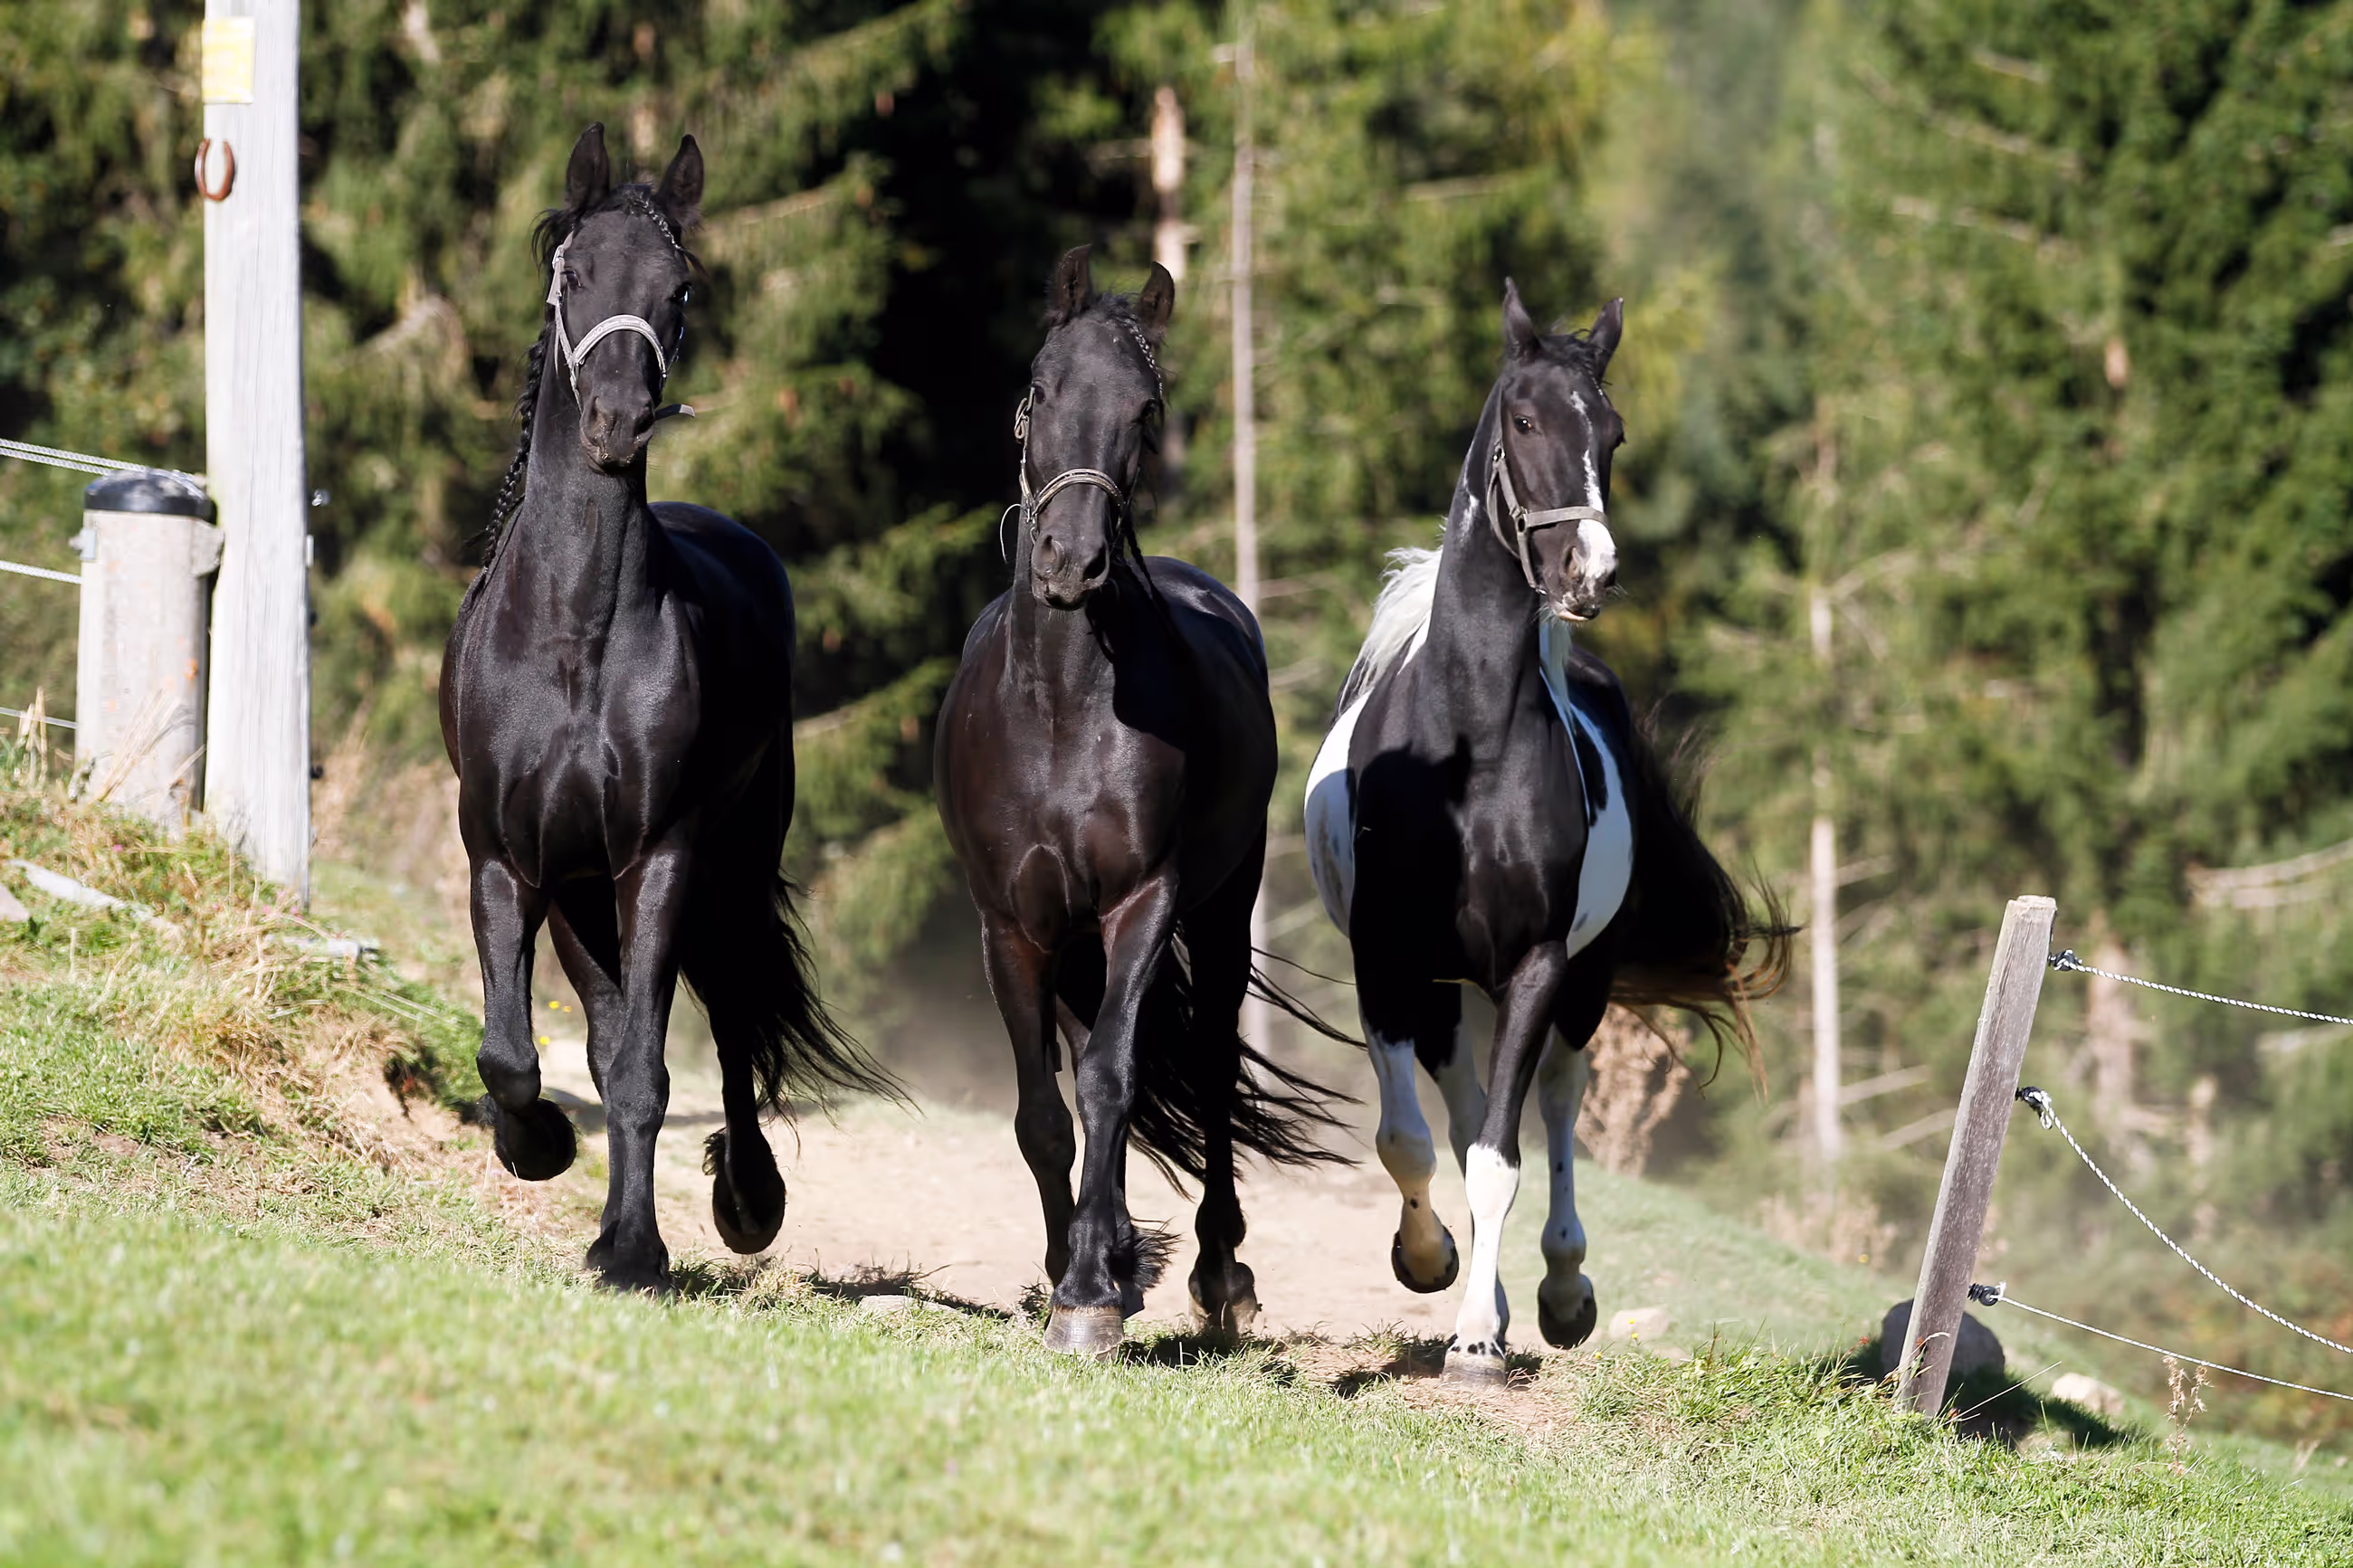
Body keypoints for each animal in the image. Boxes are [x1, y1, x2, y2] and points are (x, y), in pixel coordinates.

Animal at [441, 124, 890, 1292]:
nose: (616, 420)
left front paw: (634, 1251)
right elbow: (514, 1053)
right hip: (583, 894)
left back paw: (747, 1199)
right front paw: (539, 1146)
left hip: (720, 872)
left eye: (678, 288)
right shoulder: (506, 857)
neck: (572, 643)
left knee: (728, 1022)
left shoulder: (659, 858)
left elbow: (647, 1068)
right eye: (570, 271)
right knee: (607, 1031)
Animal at [935, 246, 1340, 1355]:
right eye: (1038, 390)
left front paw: (1088, 1291)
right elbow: (1045, 1108)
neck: (1063, 711)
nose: (1072, 562)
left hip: (1220, 912)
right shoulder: (1008, 926)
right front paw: (1071, 1274)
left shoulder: (1143, 904)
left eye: (1145, 409)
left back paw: (1213, 1274)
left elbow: (1115, 1077)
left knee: (1204, 1070)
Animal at [1304, 282, 1789, 1382]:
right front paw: (1427, 1263)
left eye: (1612, 433)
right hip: (1448, 989)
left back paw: (1561, 1290)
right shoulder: (1385, 959)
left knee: (1554, 1109)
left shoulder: (1534, 964)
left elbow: (1500, 1159)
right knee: (1458, 1108)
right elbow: (1410, 1140)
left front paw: (1479, 1338)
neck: (1467, 754)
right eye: (1524, 421)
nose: (1589, 571)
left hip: (1582, 982)